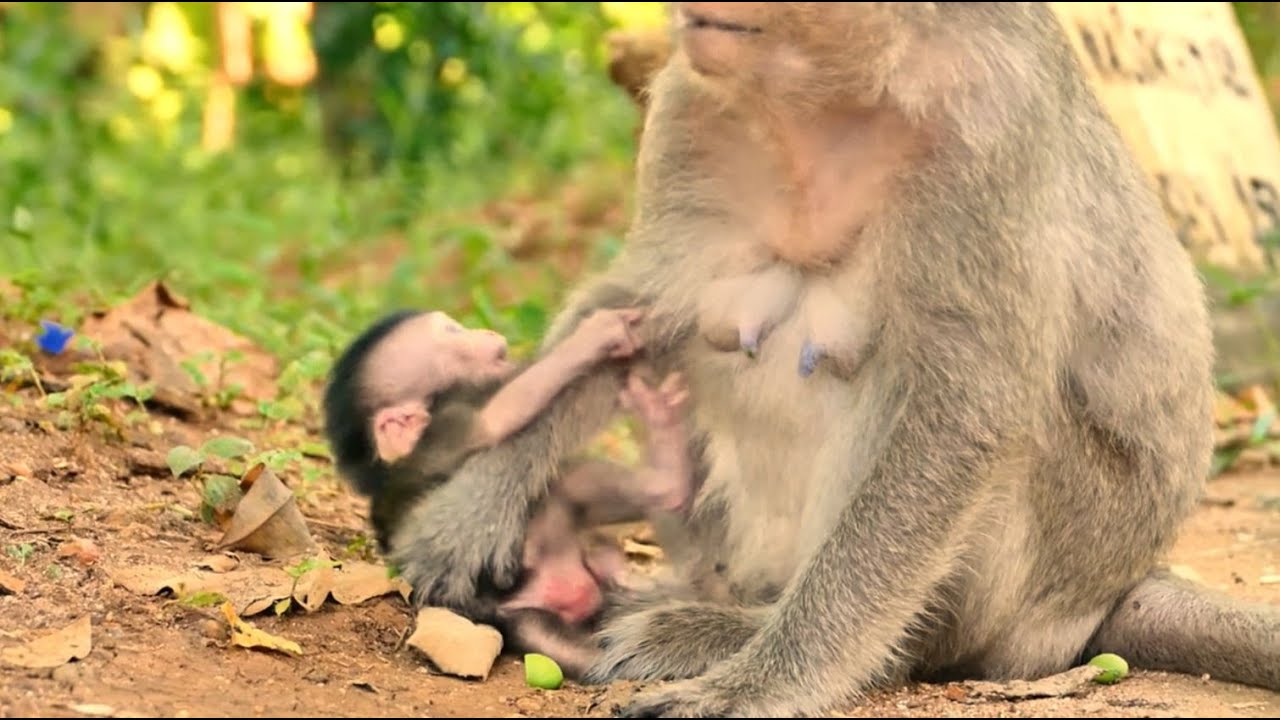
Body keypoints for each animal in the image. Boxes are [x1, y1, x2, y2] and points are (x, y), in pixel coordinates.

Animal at [321, 307, 698, 676]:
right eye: (454, 333)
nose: (487, 333)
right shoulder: (444, 430)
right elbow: (498, 417)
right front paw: (597, 334)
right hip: (526, 608)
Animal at [385, 2, 1280, 716]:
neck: (829, 90)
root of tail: (1108, 592)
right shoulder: (689, 107)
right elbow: (635, 310)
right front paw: (472, 508)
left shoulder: (991, 132)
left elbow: (967, 409)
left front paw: (758, 683)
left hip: (1028, 585)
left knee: (908, 394)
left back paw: (731, 632)